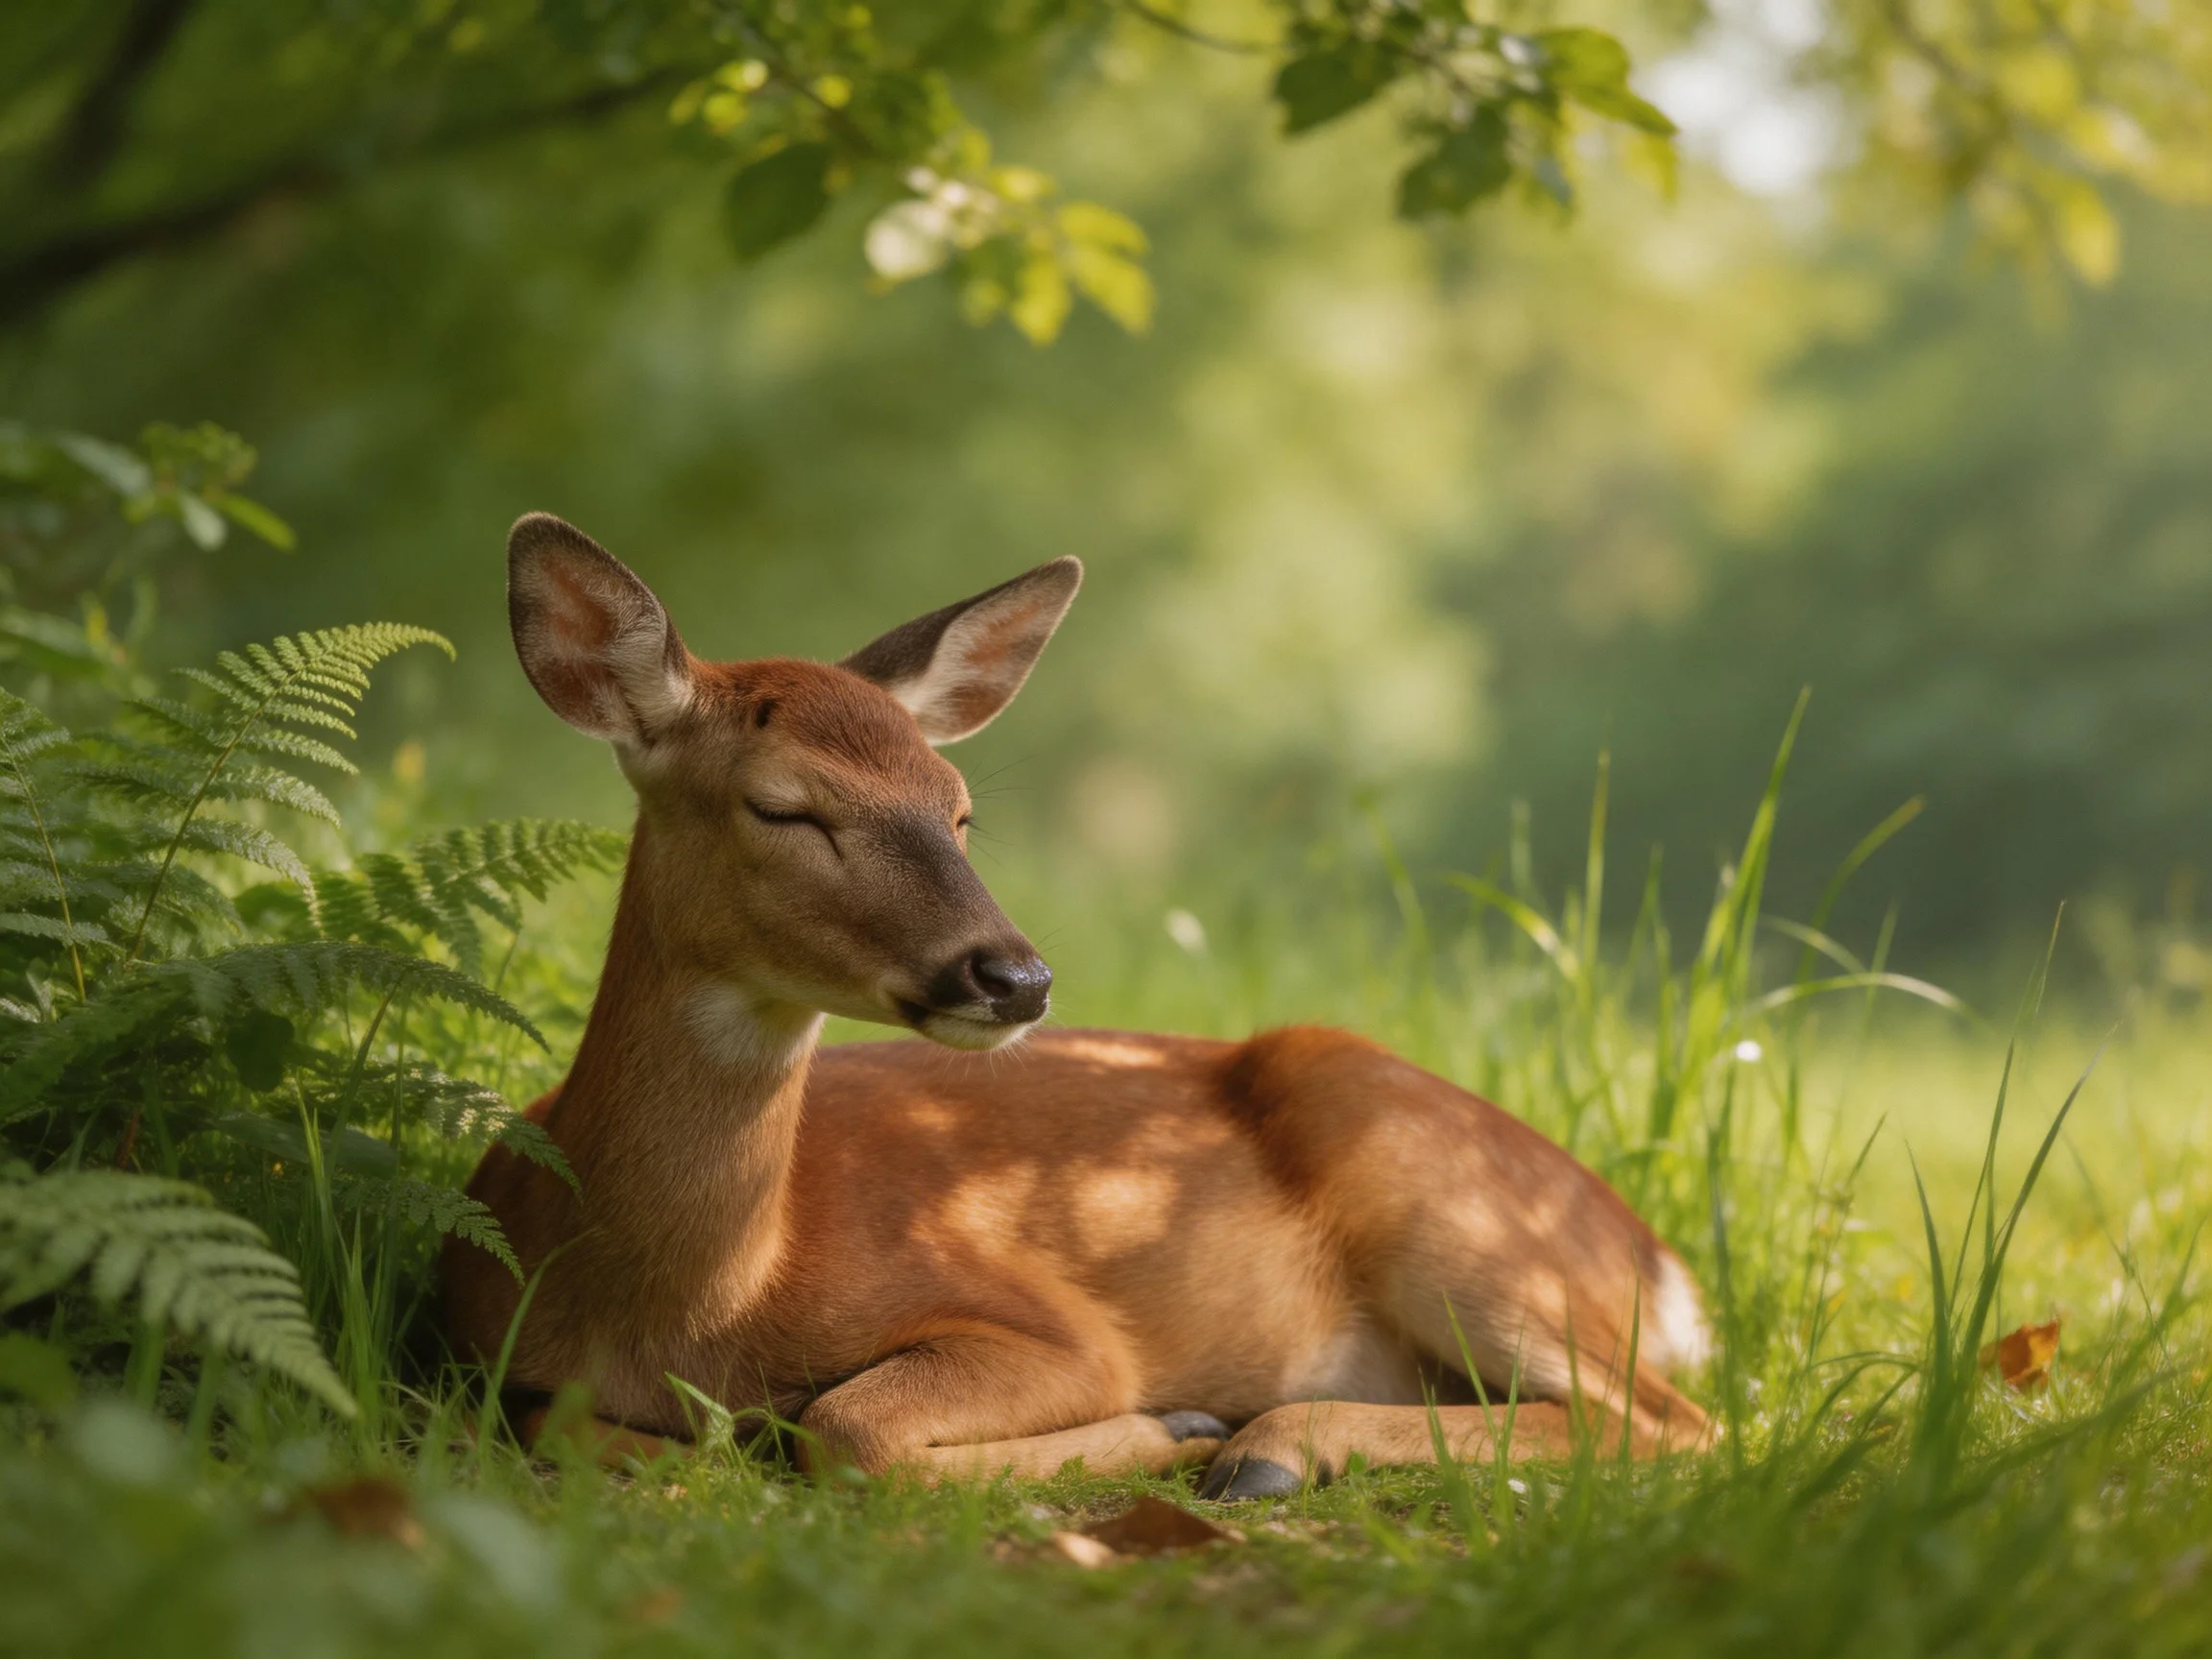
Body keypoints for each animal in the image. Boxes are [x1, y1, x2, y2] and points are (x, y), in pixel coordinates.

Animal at [443, 513, 1712, 1498]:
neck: (695, 1305)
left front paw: (1173, 1426)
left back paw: (1265, 1448)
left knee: (1671, 1422)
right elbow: (567, 1425)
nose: (1014, 975)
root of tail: (1658, 1263)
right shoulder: (486, 1355)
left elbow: (849, 1427)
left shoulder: (1051, 1321)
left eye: (958, 808)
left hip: (1460, 1215)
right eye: (784, 807)